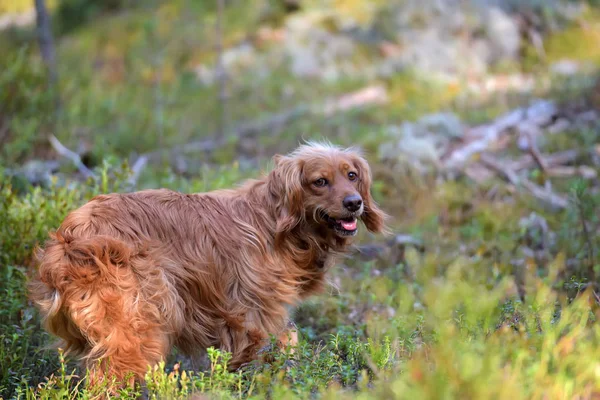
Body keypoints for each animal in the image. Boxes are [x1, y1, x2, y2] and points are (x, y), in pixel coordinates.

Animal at [28, 142, 386, 382]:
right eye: (320, 181)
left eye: (352, 176)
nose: (354, 203)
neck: (276, 223)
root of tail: (72, 236)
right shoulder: (254, 317)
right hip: (138, 330)